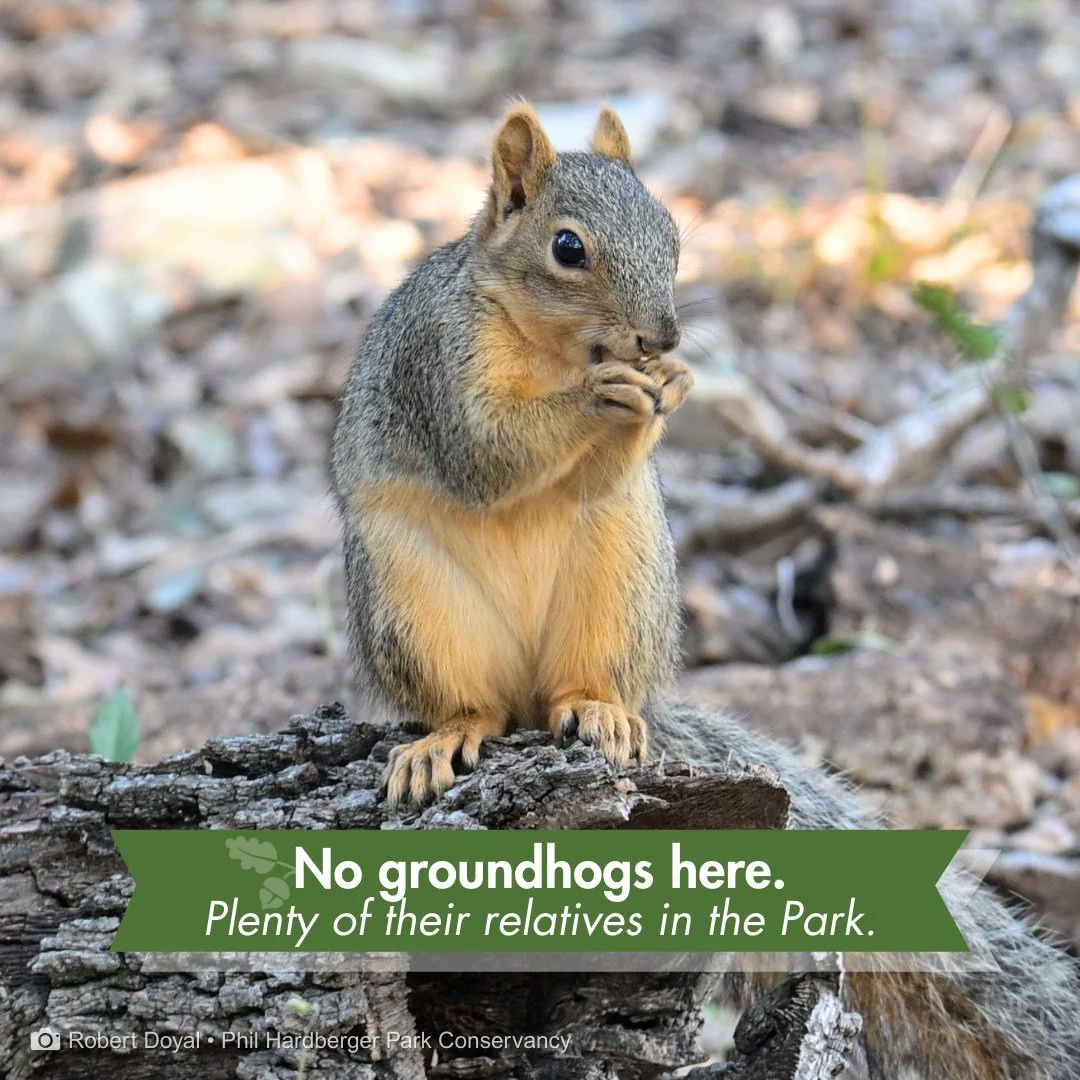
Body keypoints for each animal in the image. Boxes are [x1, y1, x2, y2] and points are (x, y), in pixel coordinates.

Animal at [330, 103, 1080, 1079]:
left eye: (674, 233)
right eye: (567, 247)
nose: (666, 340)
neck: (553, 347)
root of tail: (529, 701)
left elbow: (594, 471)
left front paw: (669, 390)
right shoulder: (437, 364)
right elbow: (485, 452)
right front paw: (598, 399)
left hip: (627, 572)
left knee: (580, 685)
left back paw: (600, 712)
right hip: (406, 593)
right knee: (472, 706)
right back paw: (447, 736)